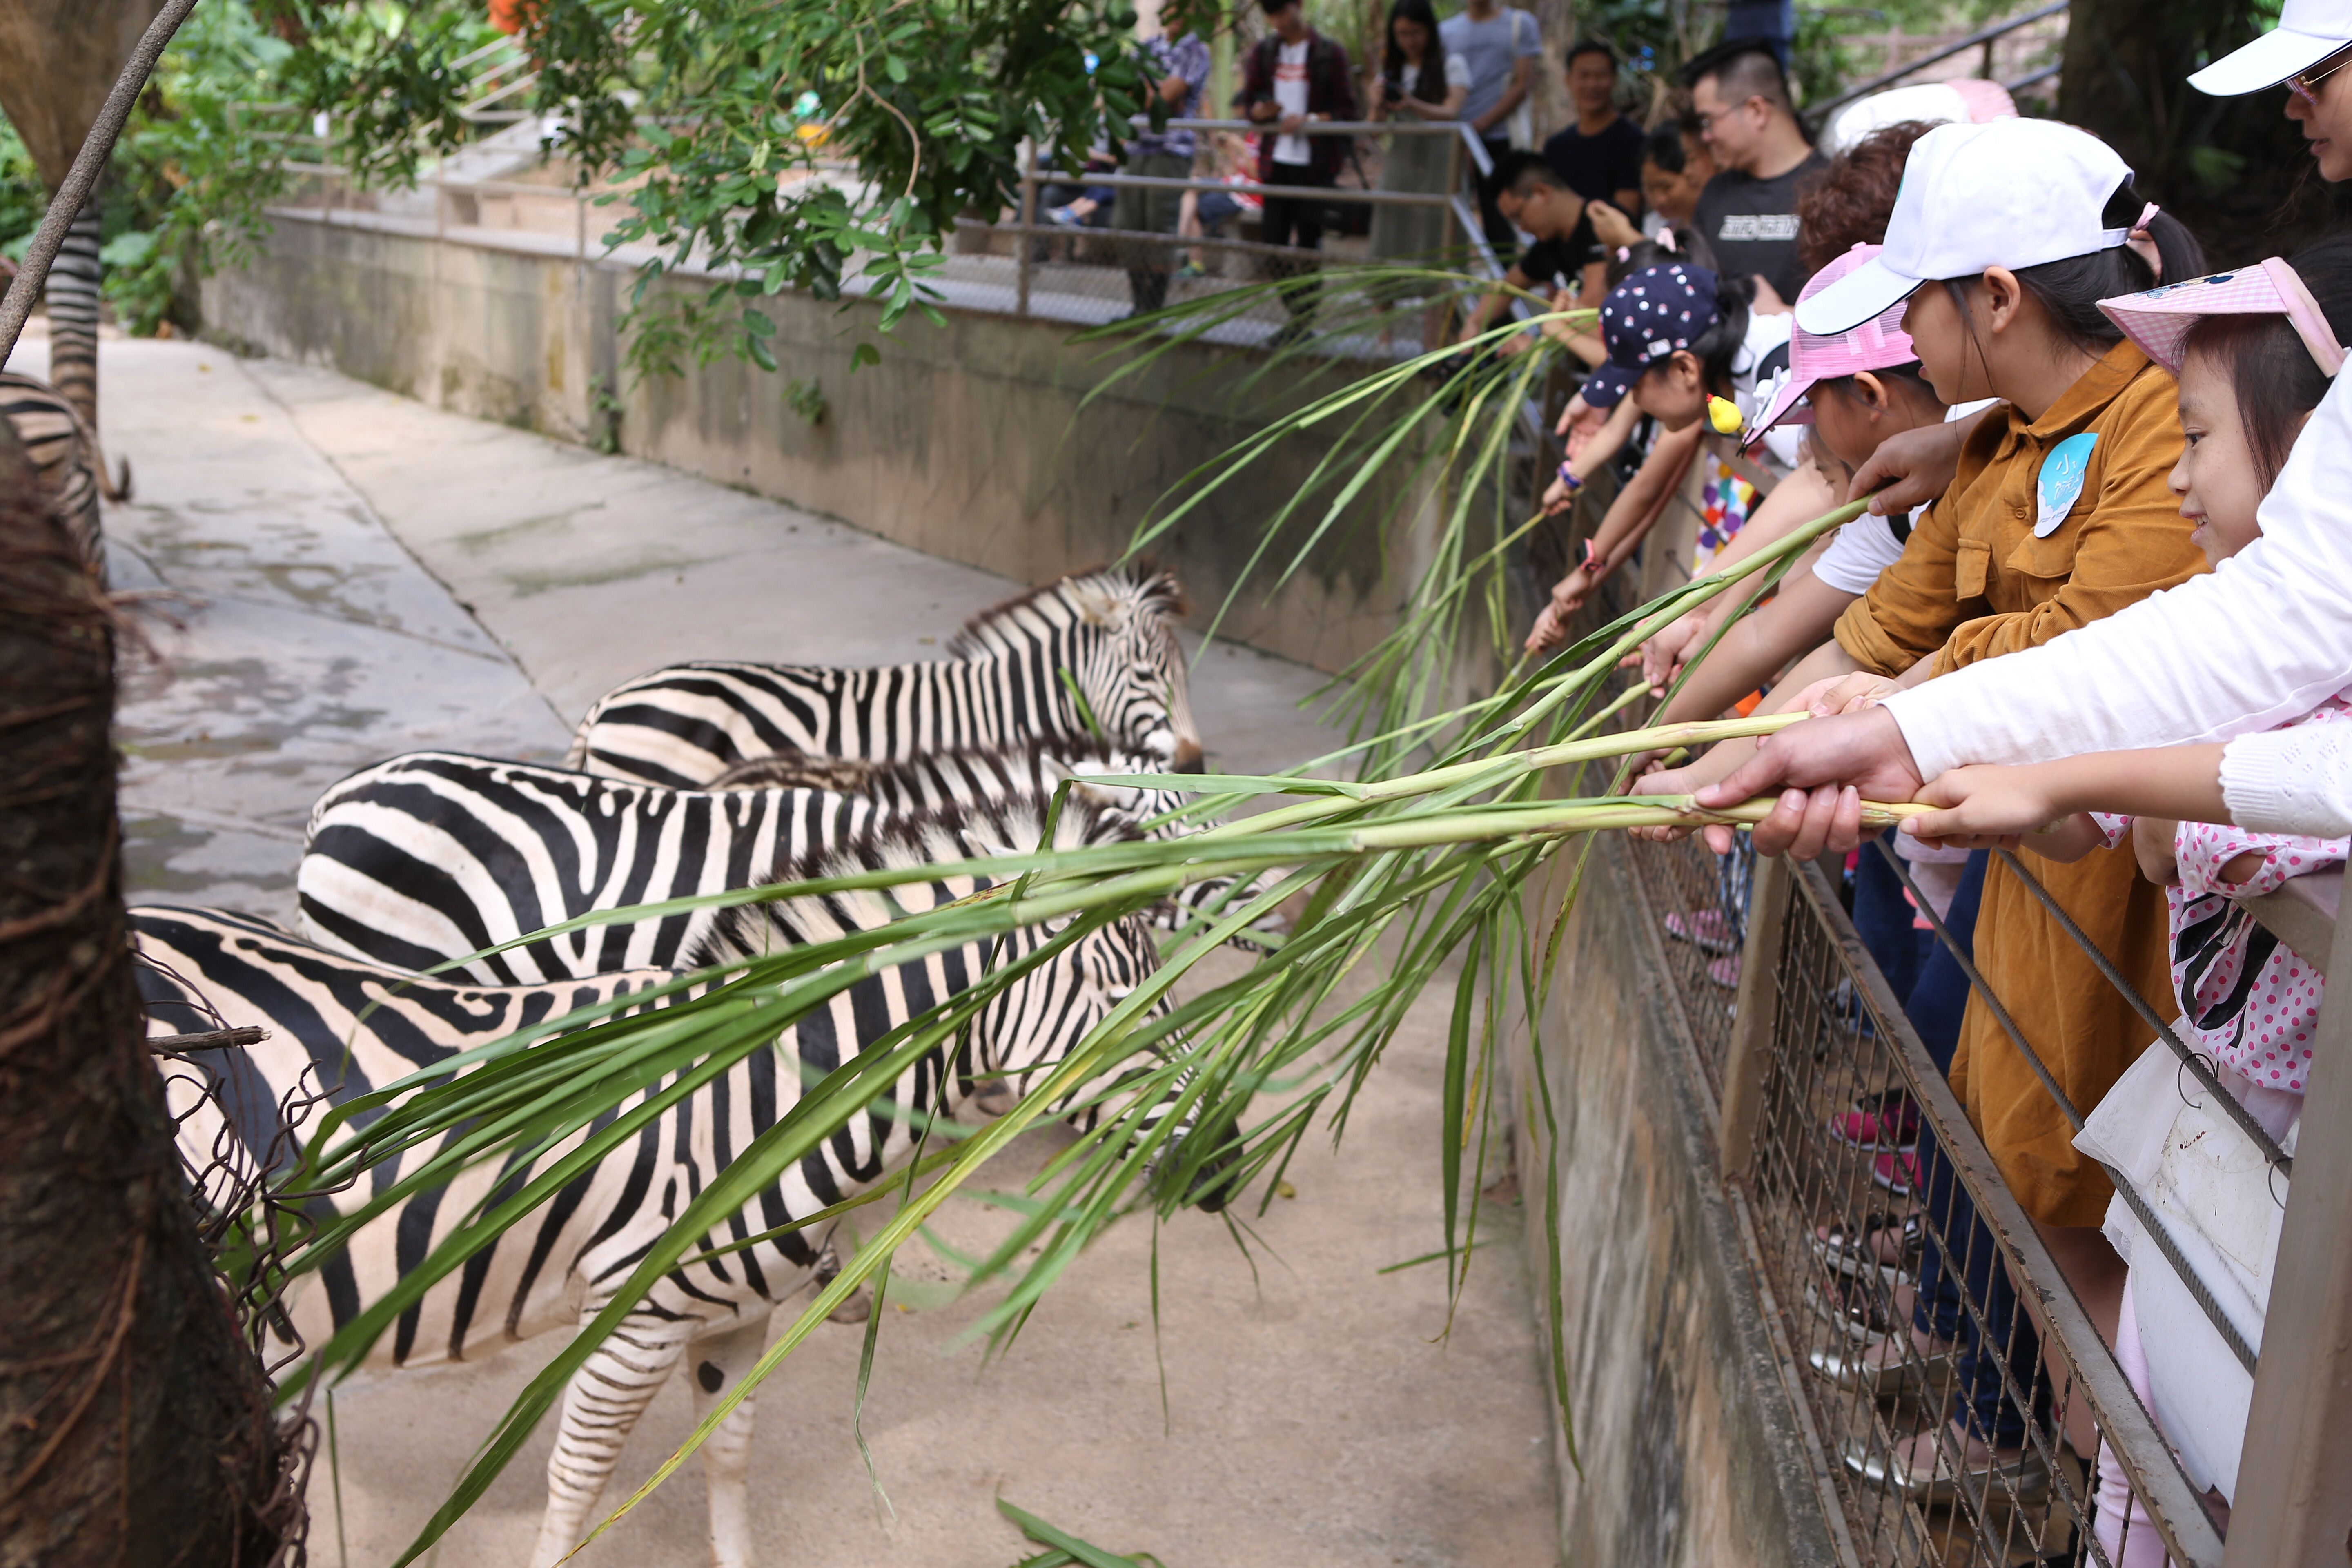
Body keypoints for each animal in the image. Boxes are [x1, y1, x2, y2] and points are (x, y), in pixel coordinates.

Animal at [138, 791, 1207, 1568]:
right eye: (1126, 998)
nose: (1220, 1161)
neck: (767, 1092)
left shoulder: (736, 1318)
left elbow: (725, 1457)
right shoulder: (630, 1319)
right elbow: (580, 1478)